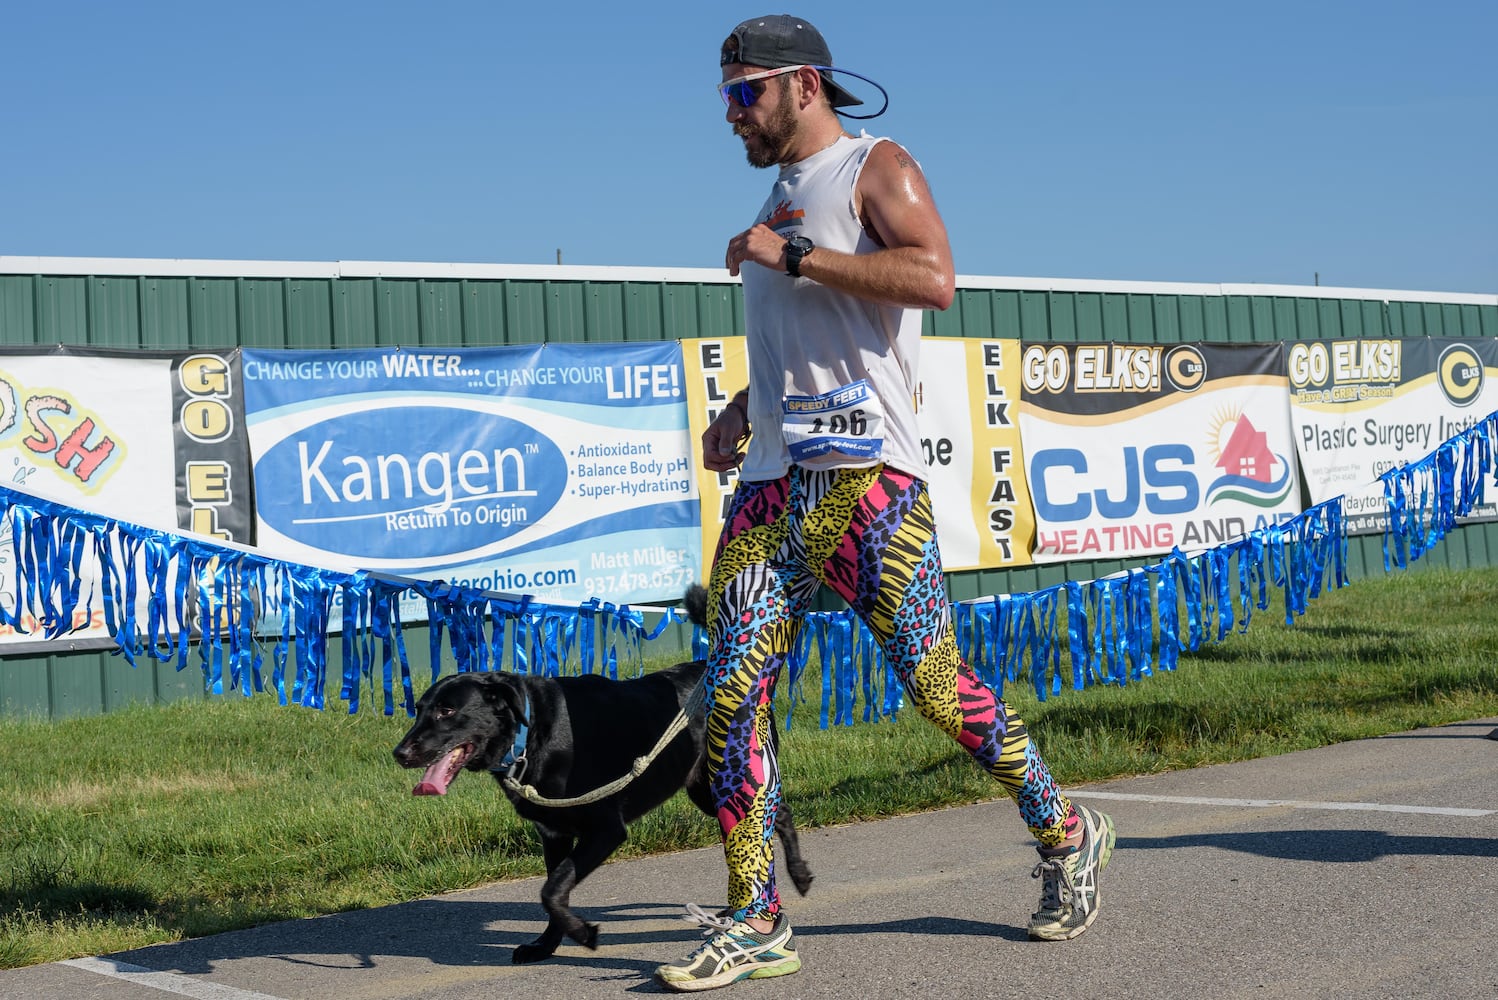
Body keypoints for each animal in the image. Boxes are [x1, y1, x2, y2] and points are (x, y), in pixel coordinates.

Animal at [386, 586, 808, 958]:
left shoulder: (605, 829)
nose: (399, 753)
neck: (531, 733)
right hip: (704, 789)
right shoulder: (553, 835)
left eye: (447, 711)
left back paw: (797, 876)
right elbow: (552, 890)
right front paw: (546, 946)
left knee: (778, 814)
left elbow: (551, 890)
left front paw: (582, 933)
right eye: (420, 709)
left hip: (732, 776)